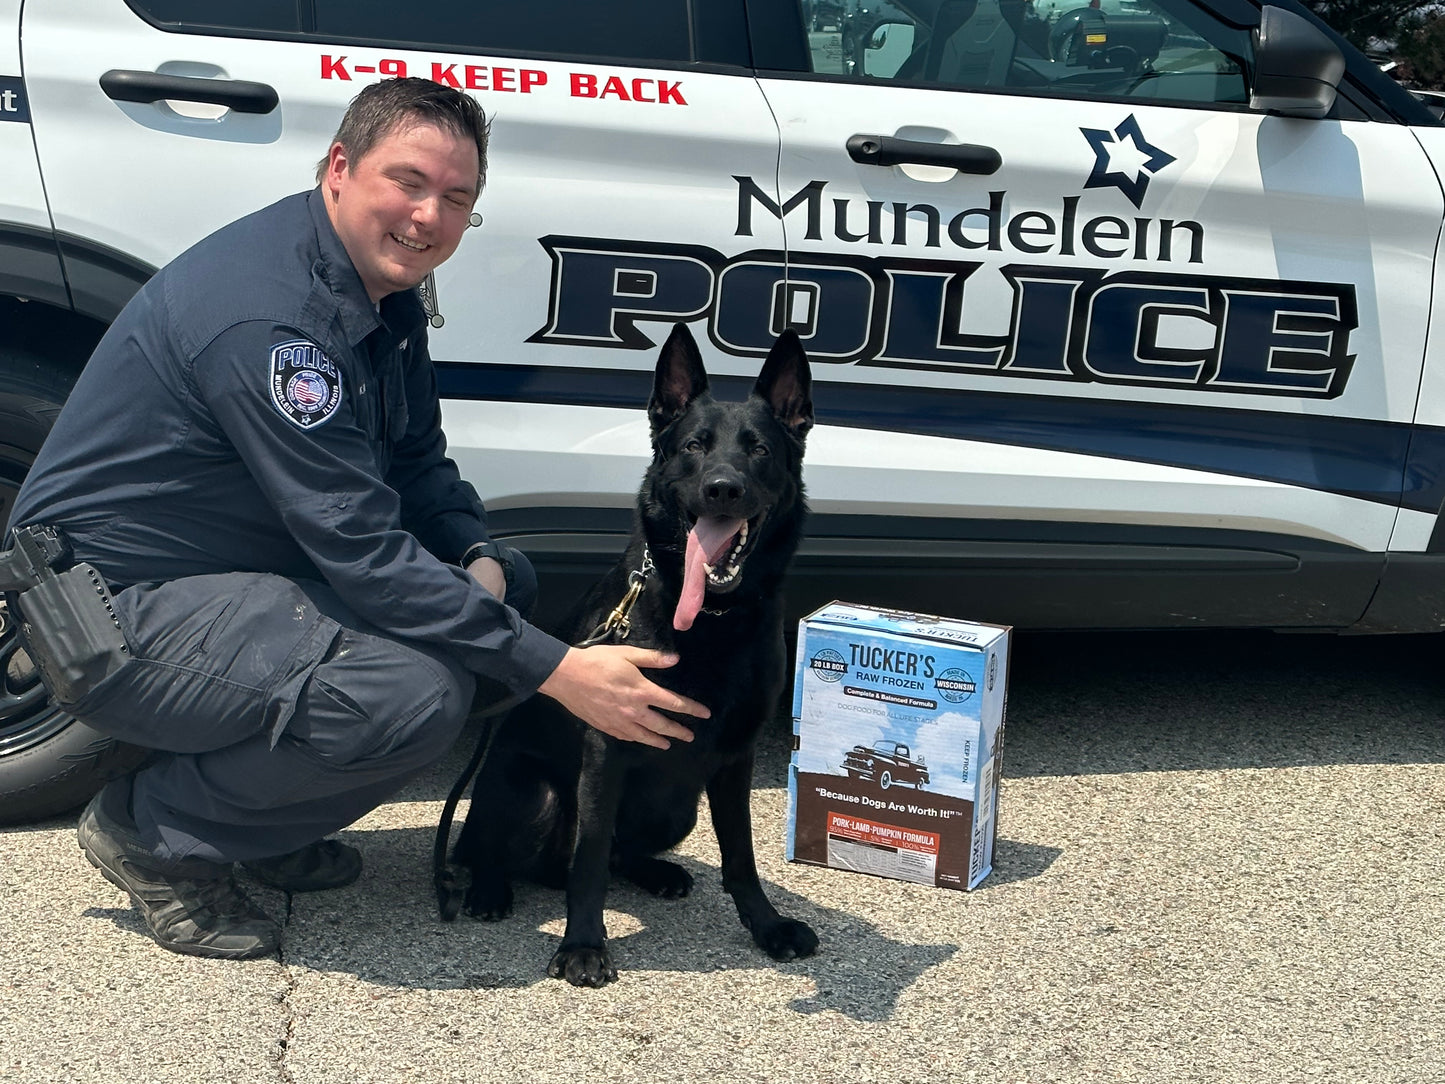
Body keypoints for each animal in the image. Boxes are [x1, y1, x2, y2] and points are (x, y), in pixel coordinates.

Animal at [453, 320, 814, 982]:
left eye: (760, 450)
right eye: (694, 446)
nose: (723, 489)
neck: (711, 617)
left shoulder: (735, 757)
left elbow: (742, 855)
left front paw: (767, 926)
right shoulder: (608, 747)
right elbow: (591, 858)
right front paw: (582, 944)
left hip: (677, 808)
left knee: (619, 854)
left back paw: (657, 872)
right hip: (535, 793)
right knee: (501, 850)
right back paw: (490, 889)